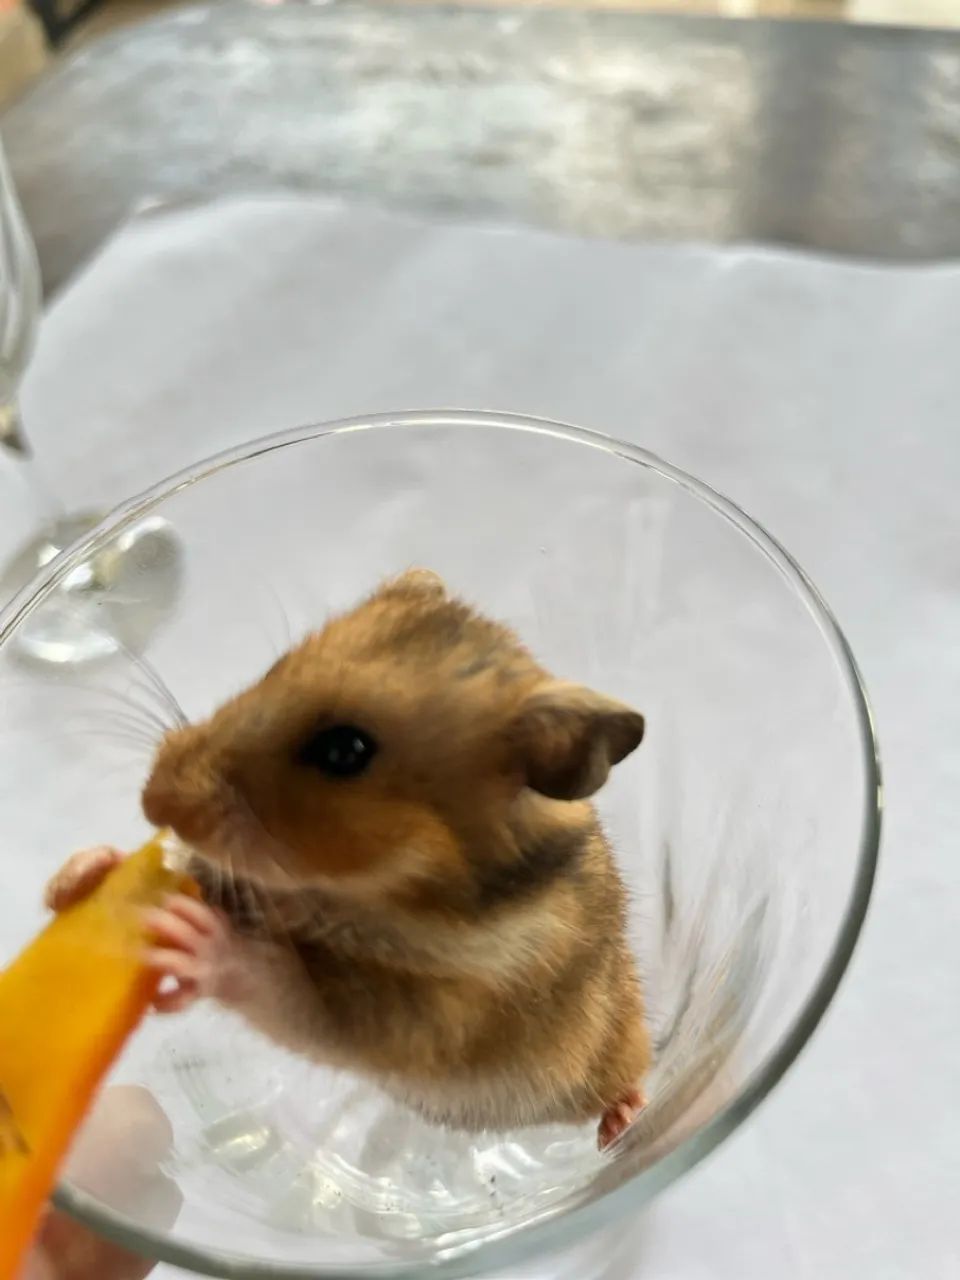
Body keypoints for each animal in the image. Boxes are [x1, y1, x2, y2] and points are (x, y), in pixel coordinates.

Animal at [49, 569, 650, 1148]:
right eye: (276, 668)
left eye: (345, 751)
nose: (152, 801)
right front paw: (86, 872)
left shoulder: (424, 1019)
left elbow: (289, 994)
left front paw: (201, 941)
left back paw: (622, 1126)